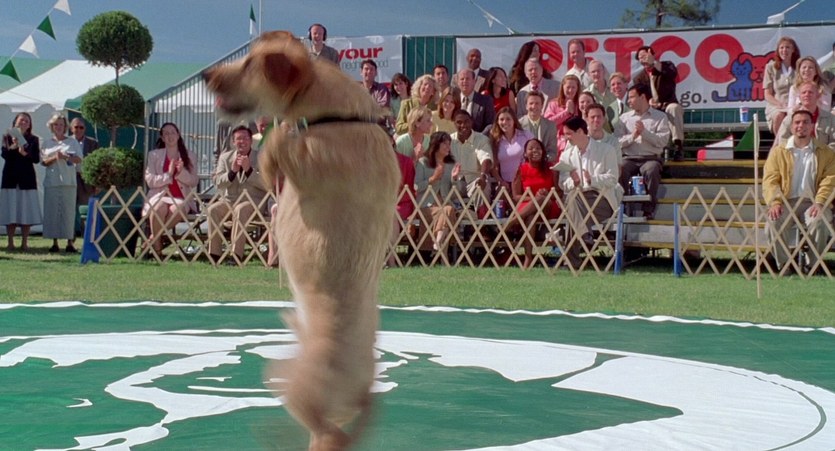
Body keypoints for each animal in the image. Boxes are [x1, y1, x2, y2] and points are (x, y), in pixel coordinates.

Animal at [204, 31, 399, 450]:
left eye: (250, 64)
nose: (207, 75)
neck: (336, 117)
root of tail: (363, 389)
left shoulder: (303, 158)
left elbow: (276, 144)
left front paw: (269, 143)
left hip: (300, 388)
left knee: (327, 430)